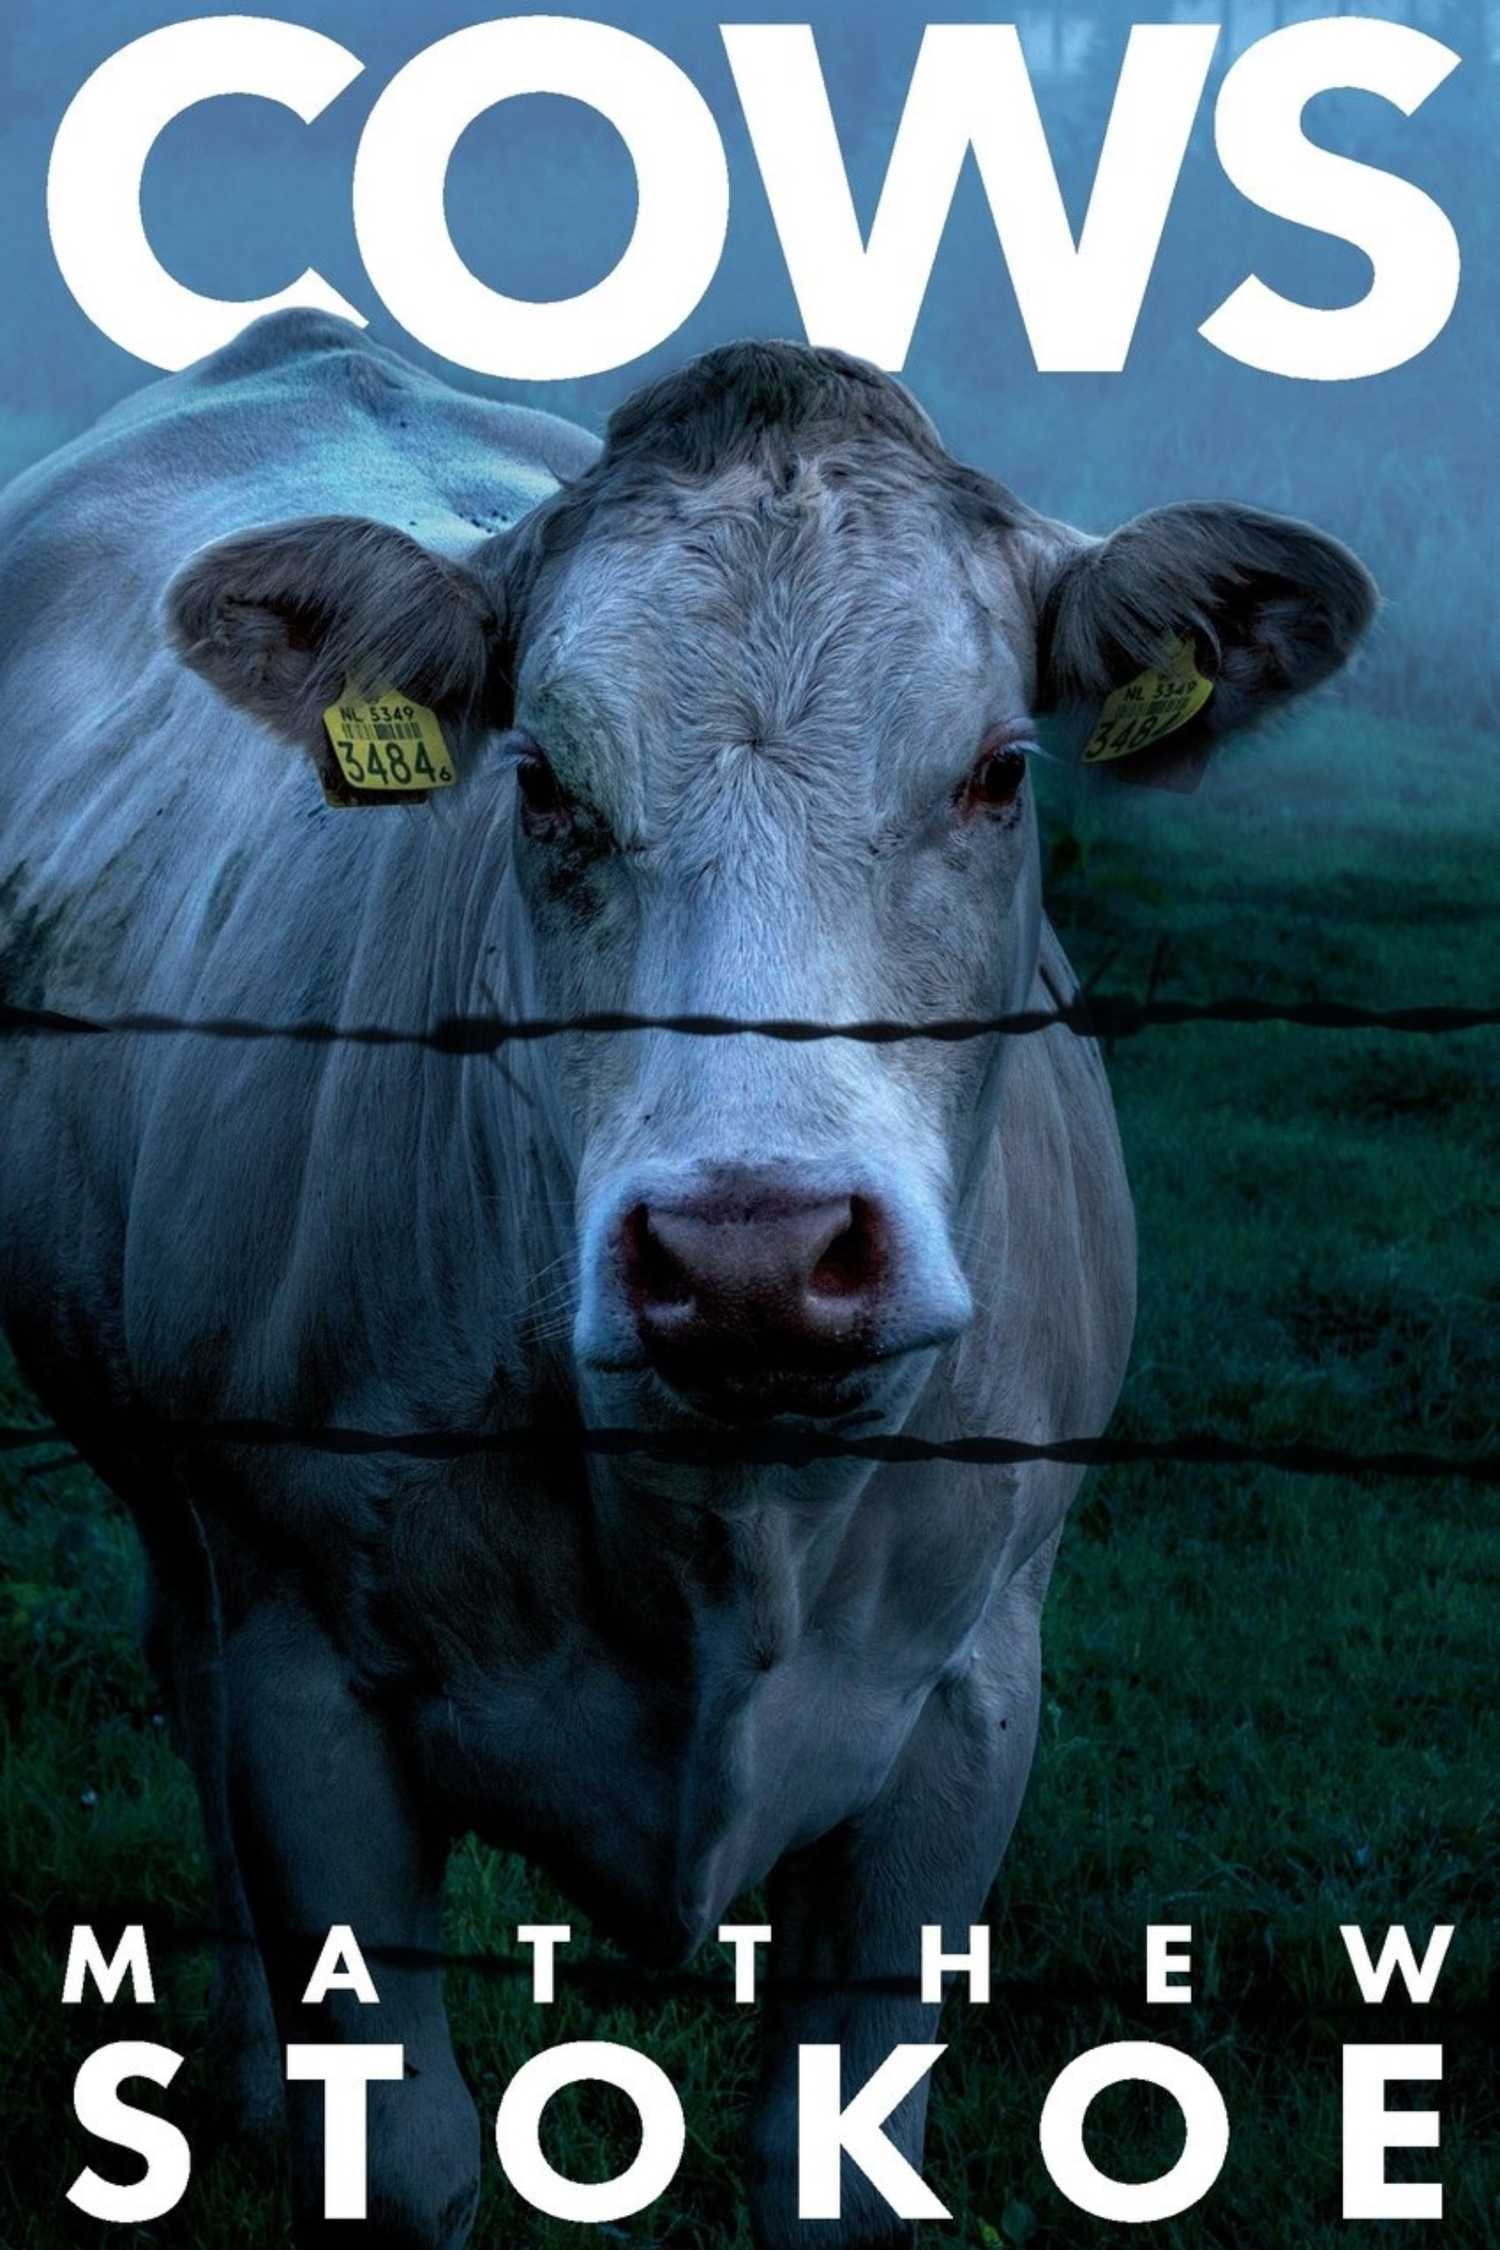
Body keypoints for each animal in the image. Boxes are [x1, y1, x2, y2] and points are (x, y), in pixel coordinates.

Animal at [0, 311, 1373, 2247]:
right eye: (541, 781)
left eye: (1000, 770)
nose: (753, 1255)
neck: (723, 1519)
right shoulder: (312, 1689)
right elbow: (410, 2150)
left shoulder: (969, 1706)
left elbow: (836, 2163)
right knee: (185, 1681)